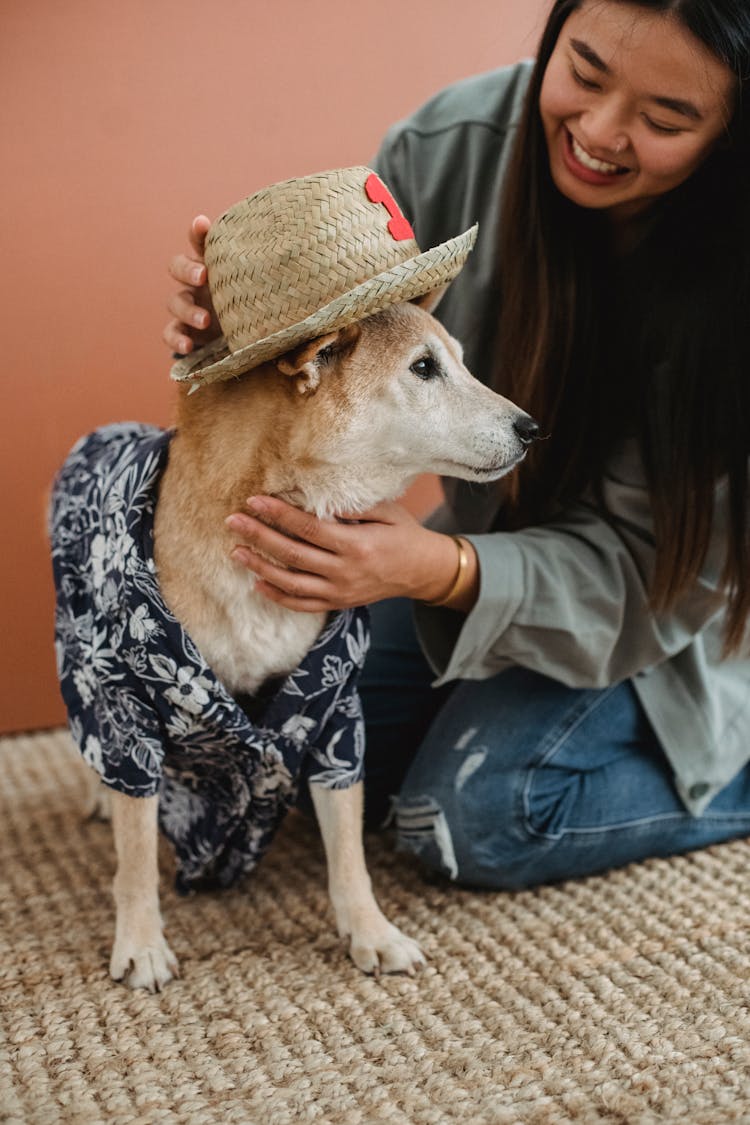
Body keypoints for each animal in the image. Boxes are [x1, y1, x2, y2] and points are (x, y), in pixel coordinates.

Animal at [48, 168, 539, 994]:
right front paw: (140, 938)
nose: (530, 427)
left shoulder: (333, 707)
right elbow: (137, 849)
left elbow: (347, 844)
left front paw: (369, 930)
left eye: (462, 359)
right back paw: (97, 799)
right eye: (425, 368)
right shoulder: (128, 705)